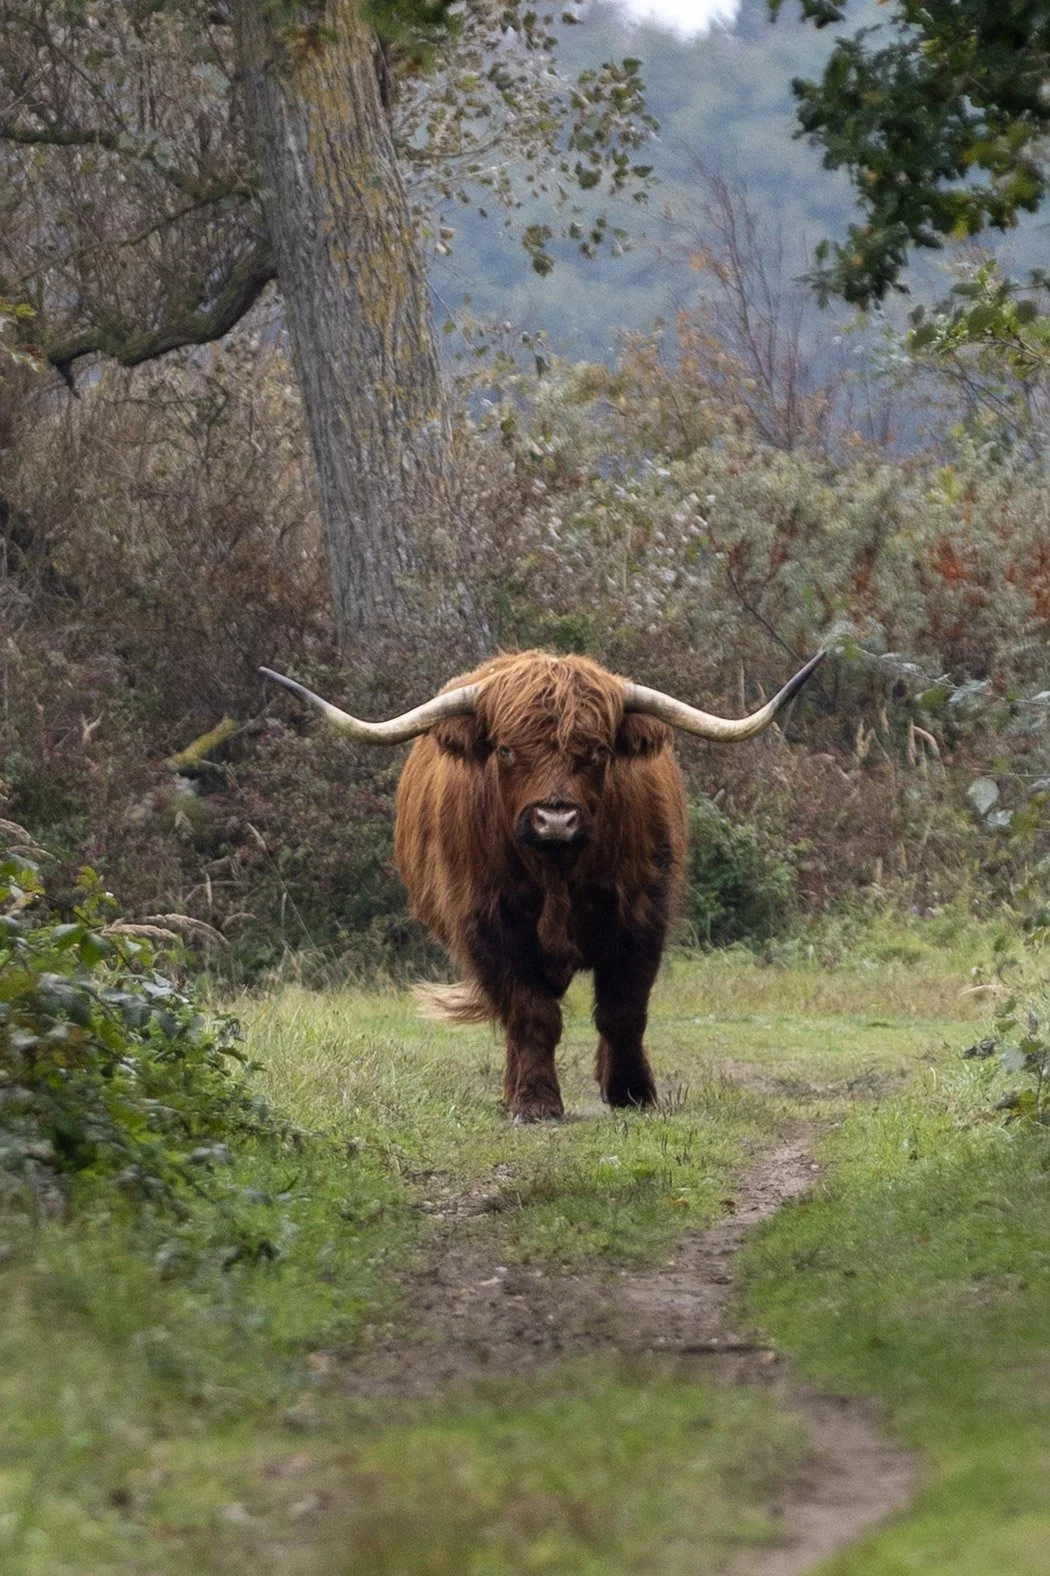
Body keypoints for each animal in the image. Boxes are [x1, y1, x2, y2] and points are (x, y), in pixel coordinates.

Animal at [261, 648, 823, 1121]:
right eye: (507, 750)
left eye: (597, 750)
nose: (556, 819)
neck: (557, 874)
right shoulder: (490, 926)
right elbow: (531, 1015)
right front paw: (534, 1103)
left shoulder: (642, 917)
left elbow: (623, 1010)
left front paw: (631, 1092)